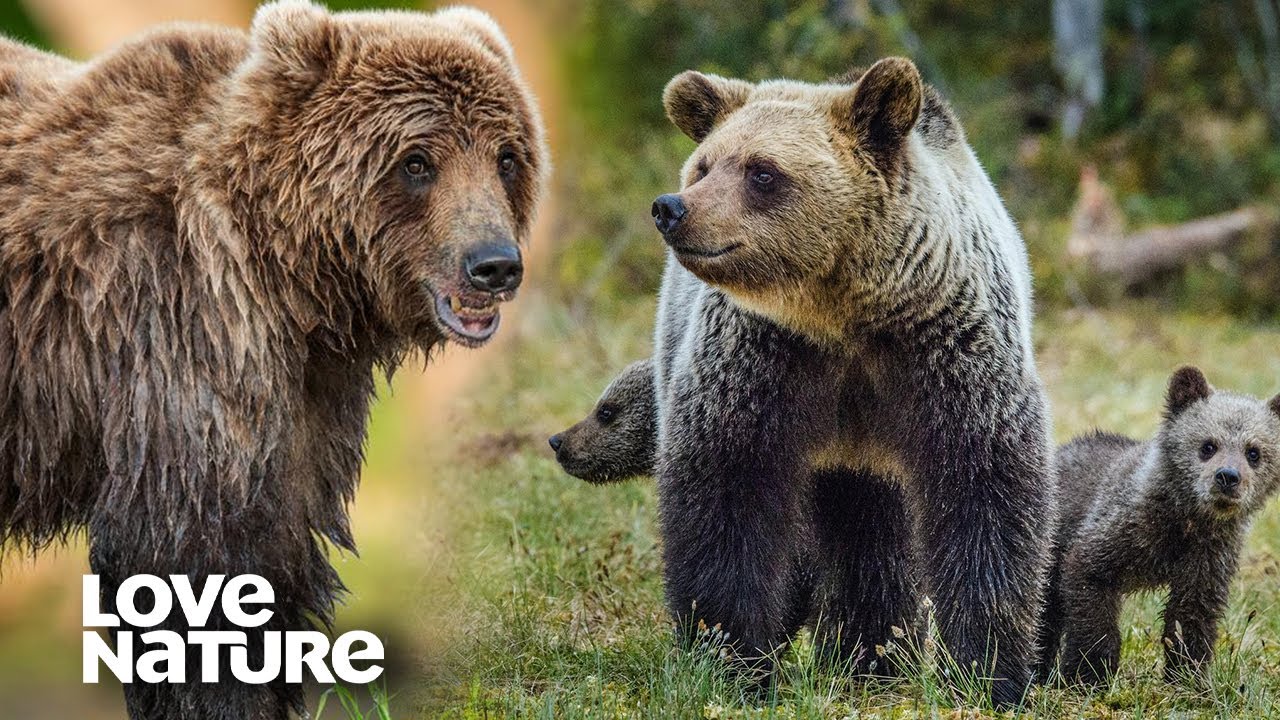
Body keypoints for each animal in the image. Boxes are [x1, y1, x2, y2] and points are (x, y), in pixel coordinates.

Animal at [0, 2, 547, 718]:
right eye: (417, 161)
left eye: (506, 156)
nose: (494, 265)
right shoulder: (180, 335)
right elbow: (190, 563)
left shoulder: (304, 397)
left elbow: (277, 556)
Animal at [650, 57, 1055, 705]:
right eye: (705, 165)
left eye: (762, 171)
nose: (672, 207)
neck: (845, 315)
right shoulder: (761, 360)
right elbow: (726, 492)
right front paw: (731, 659)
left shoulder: (947, 354)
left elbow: (988, 493)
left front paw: (990, 672)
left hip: (868, 458)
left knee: (872, 536)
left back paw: (871, 656)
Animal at [1038, 367, 1280, 686]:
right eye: (1208, 445)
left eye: (1254, 452)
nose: (1228, 477)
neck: (1183, 522)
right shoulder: (1115, 533)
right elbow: (1090, 589)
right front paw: (1089, 673)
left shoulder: (1207, 558)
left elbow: (1191, 616)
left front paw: (1186, 676)